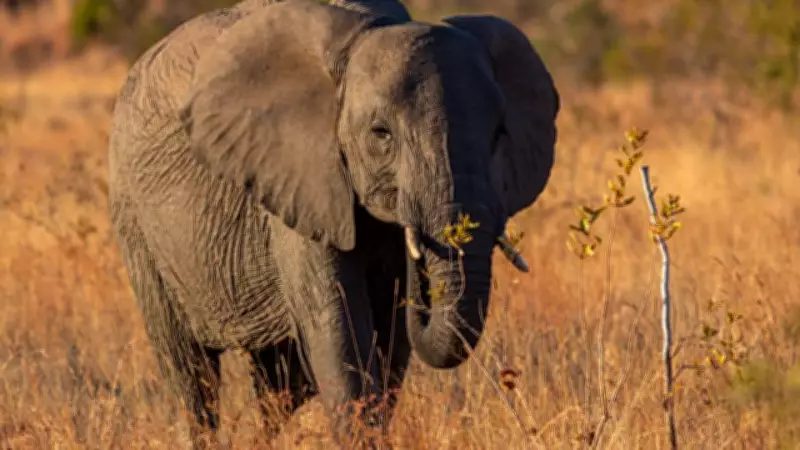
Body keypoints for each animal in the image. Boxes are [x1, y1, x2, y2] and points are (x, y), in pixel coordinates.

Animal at [107, 0, 559, 448]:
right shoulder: (300, 177)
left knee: (280, 384)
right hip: (135, 222)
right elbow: (339, 328)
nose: (423, 269)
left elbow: (388, 336)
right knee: (191, 375)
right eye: (381, 134)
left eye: (499, 134)